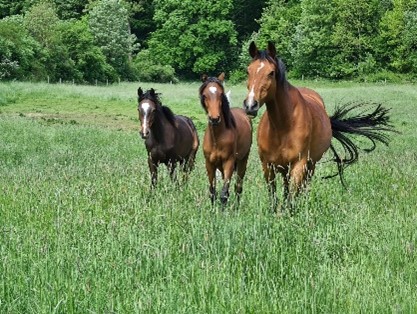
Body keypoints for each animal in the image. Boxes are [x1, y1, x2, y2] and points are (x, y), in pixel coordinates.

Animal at [198, 73, 250, 206]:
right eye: (204, 95)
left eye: (221, 94)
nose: (215, 119)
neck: (217, 138)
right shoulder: (209, 164)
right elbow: (212, 192)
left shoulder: (229, 163)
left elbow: (224, 194)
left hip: (242, 161)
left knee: (238, 187)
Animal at [240, 41, 394, 212]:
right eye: (248, 71)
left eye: (271, 73)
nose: (250, 105)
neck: (282, 126)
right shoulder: (267, 165)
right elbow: (273, 195)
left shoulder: (299, 165)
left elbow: (292, 196)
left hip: (310, 165)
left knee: (303, 187)